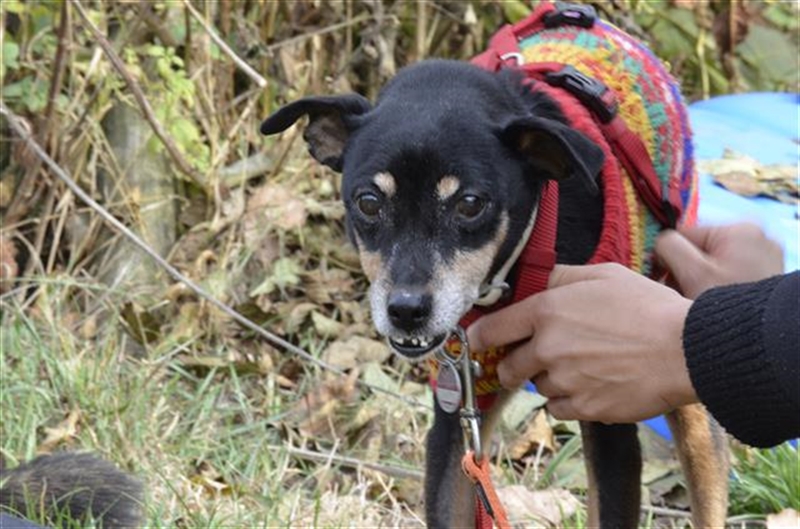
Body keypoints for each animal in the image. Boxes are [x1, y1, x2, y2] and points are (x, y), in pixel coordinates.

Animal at [261, 3, 729, 527]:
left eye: (469, 204)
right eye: (367, 201)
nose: (406, 310)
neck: (515, 272)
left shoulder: (610, 418)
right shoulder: (458, 413)